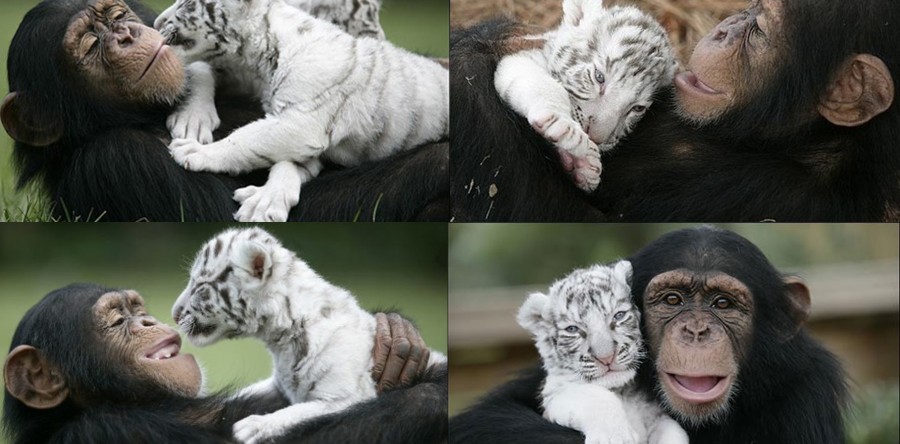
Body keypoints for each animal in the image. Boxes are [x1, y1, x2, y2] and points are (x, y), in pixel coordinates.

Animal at [154, 0, 449, 222]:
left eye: (188, 3)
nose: (156, 22)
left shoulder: (303, 122)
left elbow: (246, 139)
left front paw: (193, 151)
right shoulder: (301, 133)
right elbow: (286, 163)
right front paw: (265, 201)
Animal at [171, 227, 447, 444]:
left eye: (200, 286)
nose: (174, 314)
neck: (281, 340)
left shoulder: (343, 397)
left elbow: (301, 412)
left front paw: (251, 427)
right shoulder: (278, 386)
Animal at [494, 0, 677, 192]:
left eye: (637, 108)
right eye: (599, 77)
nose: (597, 139)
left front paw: (585, 164)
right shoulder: (517, 61)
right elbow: (548, 86)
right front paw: (564, 126)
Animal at [517, 260, 688, 444]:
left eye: (619, 315)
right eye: (572, 329)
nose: (606, 357)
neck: (621, 392)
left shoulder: (656, 416)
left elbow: (675, 432)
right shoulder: (555, 393)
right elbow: (594, 395)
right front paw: (615, 437)